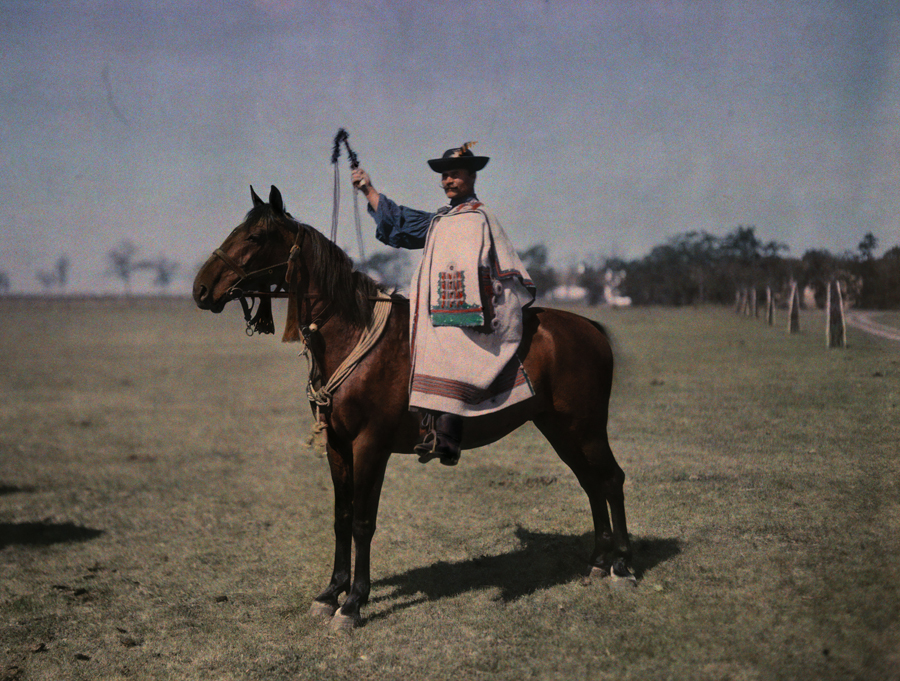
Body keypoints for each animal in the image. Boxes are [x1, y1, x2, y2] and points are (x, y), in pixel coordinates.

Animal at [192, 185, 633, 630]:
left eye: (255, 237)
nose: (201, 289)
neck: (352, 336)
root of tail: (588, 327)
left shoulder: (370, 445)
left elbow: (363, 522)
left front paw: (353, 603)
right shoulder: (338, 445)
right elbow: (341, 517)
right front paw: (330, 593)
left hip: (586, 428)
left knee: (611, 479)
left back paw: (622, 567)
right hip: (560, 428)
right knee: (591, 482)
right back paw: (598, 562)